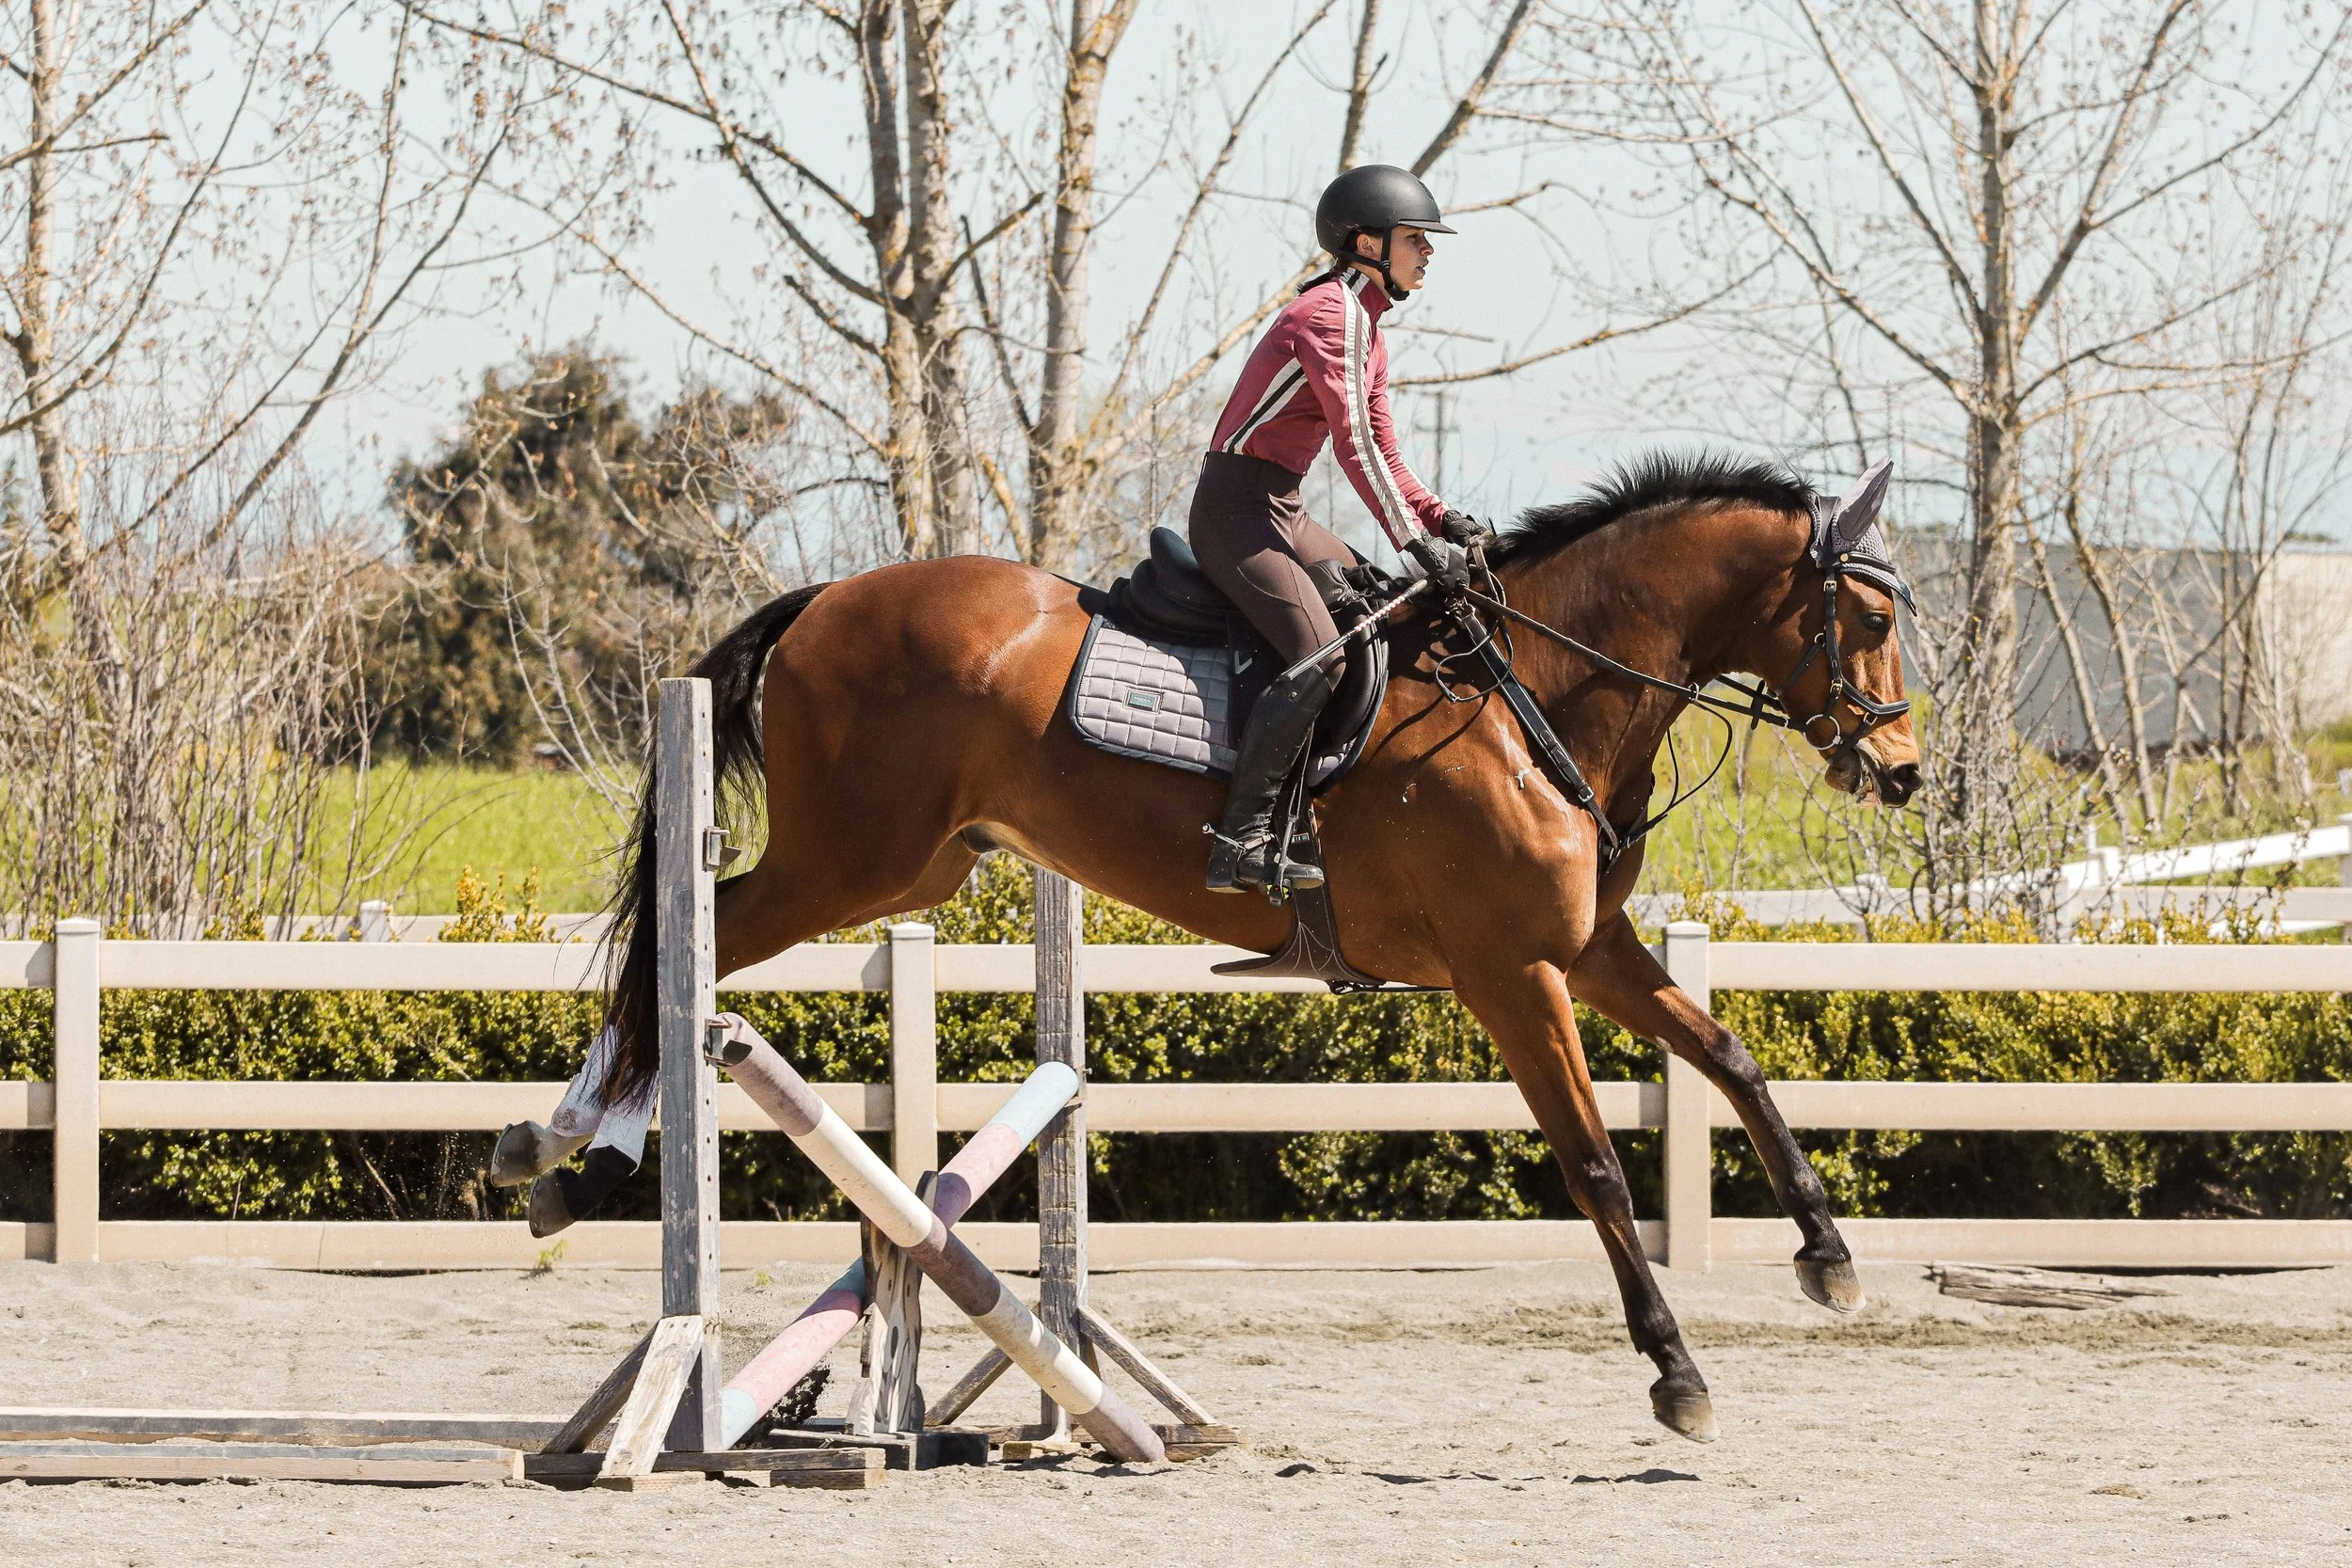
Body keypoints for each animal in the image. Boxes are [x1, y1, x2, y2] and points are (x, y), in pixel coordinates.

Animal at [545, 450, 1920, 1443]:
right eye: (1863, 615)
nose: (1902, 773)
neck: (1537, 692)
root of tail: (826, 597)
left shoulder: (1588, 949)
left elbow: (1733, 1058)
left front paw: (1830, 1257)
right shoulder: (1511, 974)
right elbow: (1596, 1168)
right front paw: (1676, 1370)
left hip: (923, 861)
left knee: (692, 945)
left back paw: (563, 1150)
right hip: (852, 862)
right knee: (683, 947)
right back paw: (571, 1152)